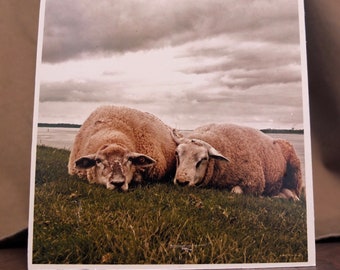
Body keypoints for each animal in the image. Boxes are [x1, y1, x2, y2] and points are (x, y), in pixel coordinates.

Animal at [173, 123, 302, 200]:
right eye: (177, 154)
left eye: (203, 159)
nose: (181, 182)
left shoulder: (254, 182)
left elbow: (235, 191)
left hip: (295, 172)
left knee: (294, 195)